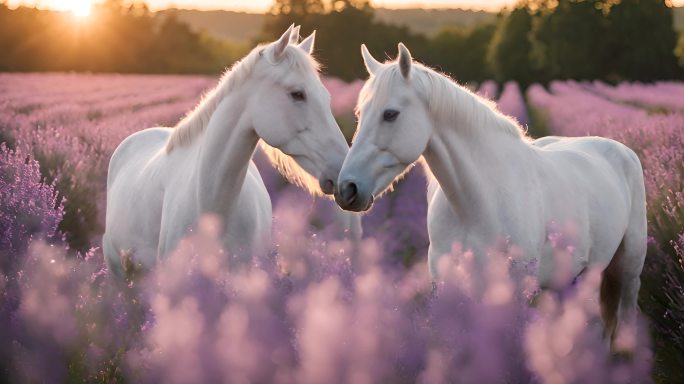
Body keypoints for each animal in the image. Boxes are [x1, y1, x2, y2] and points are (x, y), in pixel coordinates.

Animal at [336, 43, 648, 344]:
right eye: (359, 114)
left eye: (390, 114)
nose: (347, 189)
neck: (477, 204)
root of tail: (621, 150)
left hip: (627, 270)